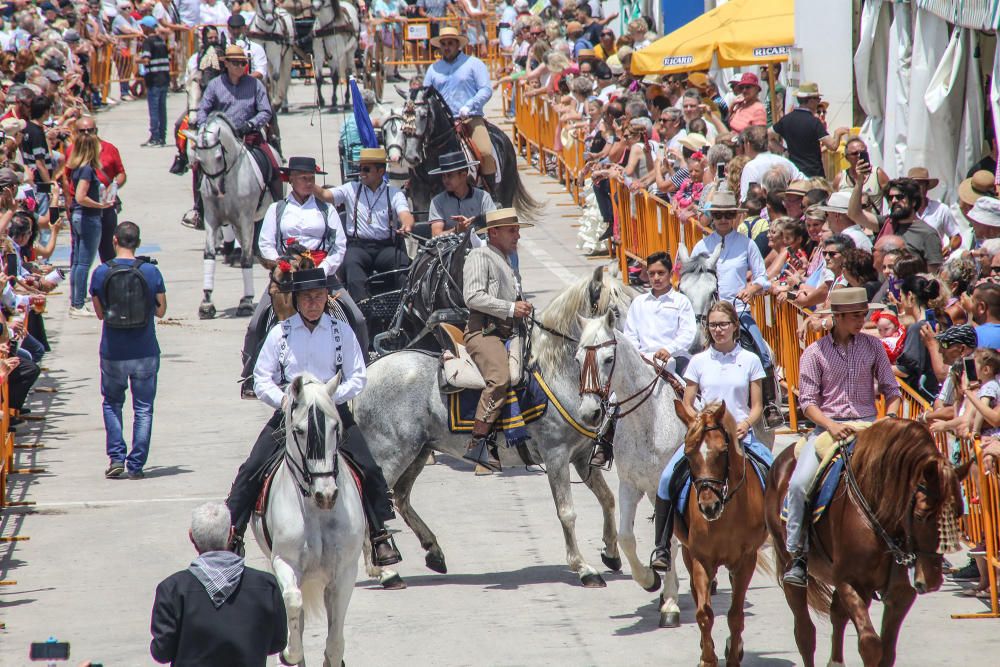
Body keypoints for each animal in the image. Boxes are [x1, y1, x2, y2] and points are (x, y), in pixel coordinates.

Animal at [252, 374, 366, 667]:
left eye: (335, 427)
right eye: (301, 430)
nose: (327, 494)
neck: (317, 510)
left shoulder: (345, 572)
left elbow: (335, 643)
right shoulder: (284, 561)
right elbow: (293, 602)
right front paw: (289, 652)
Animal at [576, 310, 692, 628]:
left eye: (607, 359)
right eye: (577, 360)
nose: (589, 412)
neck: (647, 420)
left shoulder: (667, 488)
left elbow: (670, 540)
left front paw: (670, 603)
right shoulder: (630, 485)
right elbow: (626, 538)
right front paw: (651, 581)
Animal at [676, 400, 768, 664]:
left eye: (722, 451)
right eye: (688, 454)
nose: (709, 506)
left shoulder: (746, 559)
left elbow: (736, 615)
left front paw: (734, 655)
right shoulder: (700, 558)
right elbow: (704, 613)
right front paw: (707, 658)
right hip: (688, 554)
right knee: (697, 595)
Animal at [760, 420, 964, 664]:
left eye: (959, 514)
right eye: (921, 515)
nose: (931, 580)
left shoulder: (900, 593)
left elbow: (887, 652)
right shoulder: (851, 582)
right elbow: (871, 645)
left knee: (836, 614)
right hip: (789, 566)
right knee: (805, 633)